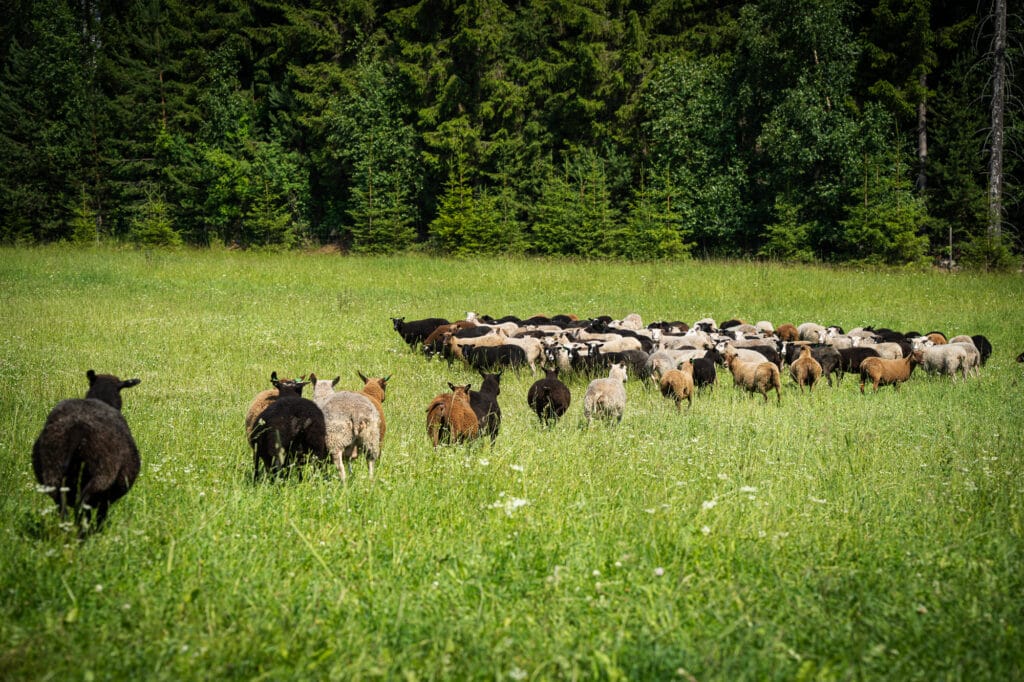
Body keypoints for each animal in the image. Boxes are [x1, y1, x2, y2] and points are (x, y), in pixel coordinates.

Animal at [32, 366, 142, 532]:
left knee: (63, 509)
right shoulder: (106, 499)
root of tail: (78, 428)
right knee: (83, 506)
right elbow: (101, 516)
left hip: (52, 473)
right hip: (101, 476)